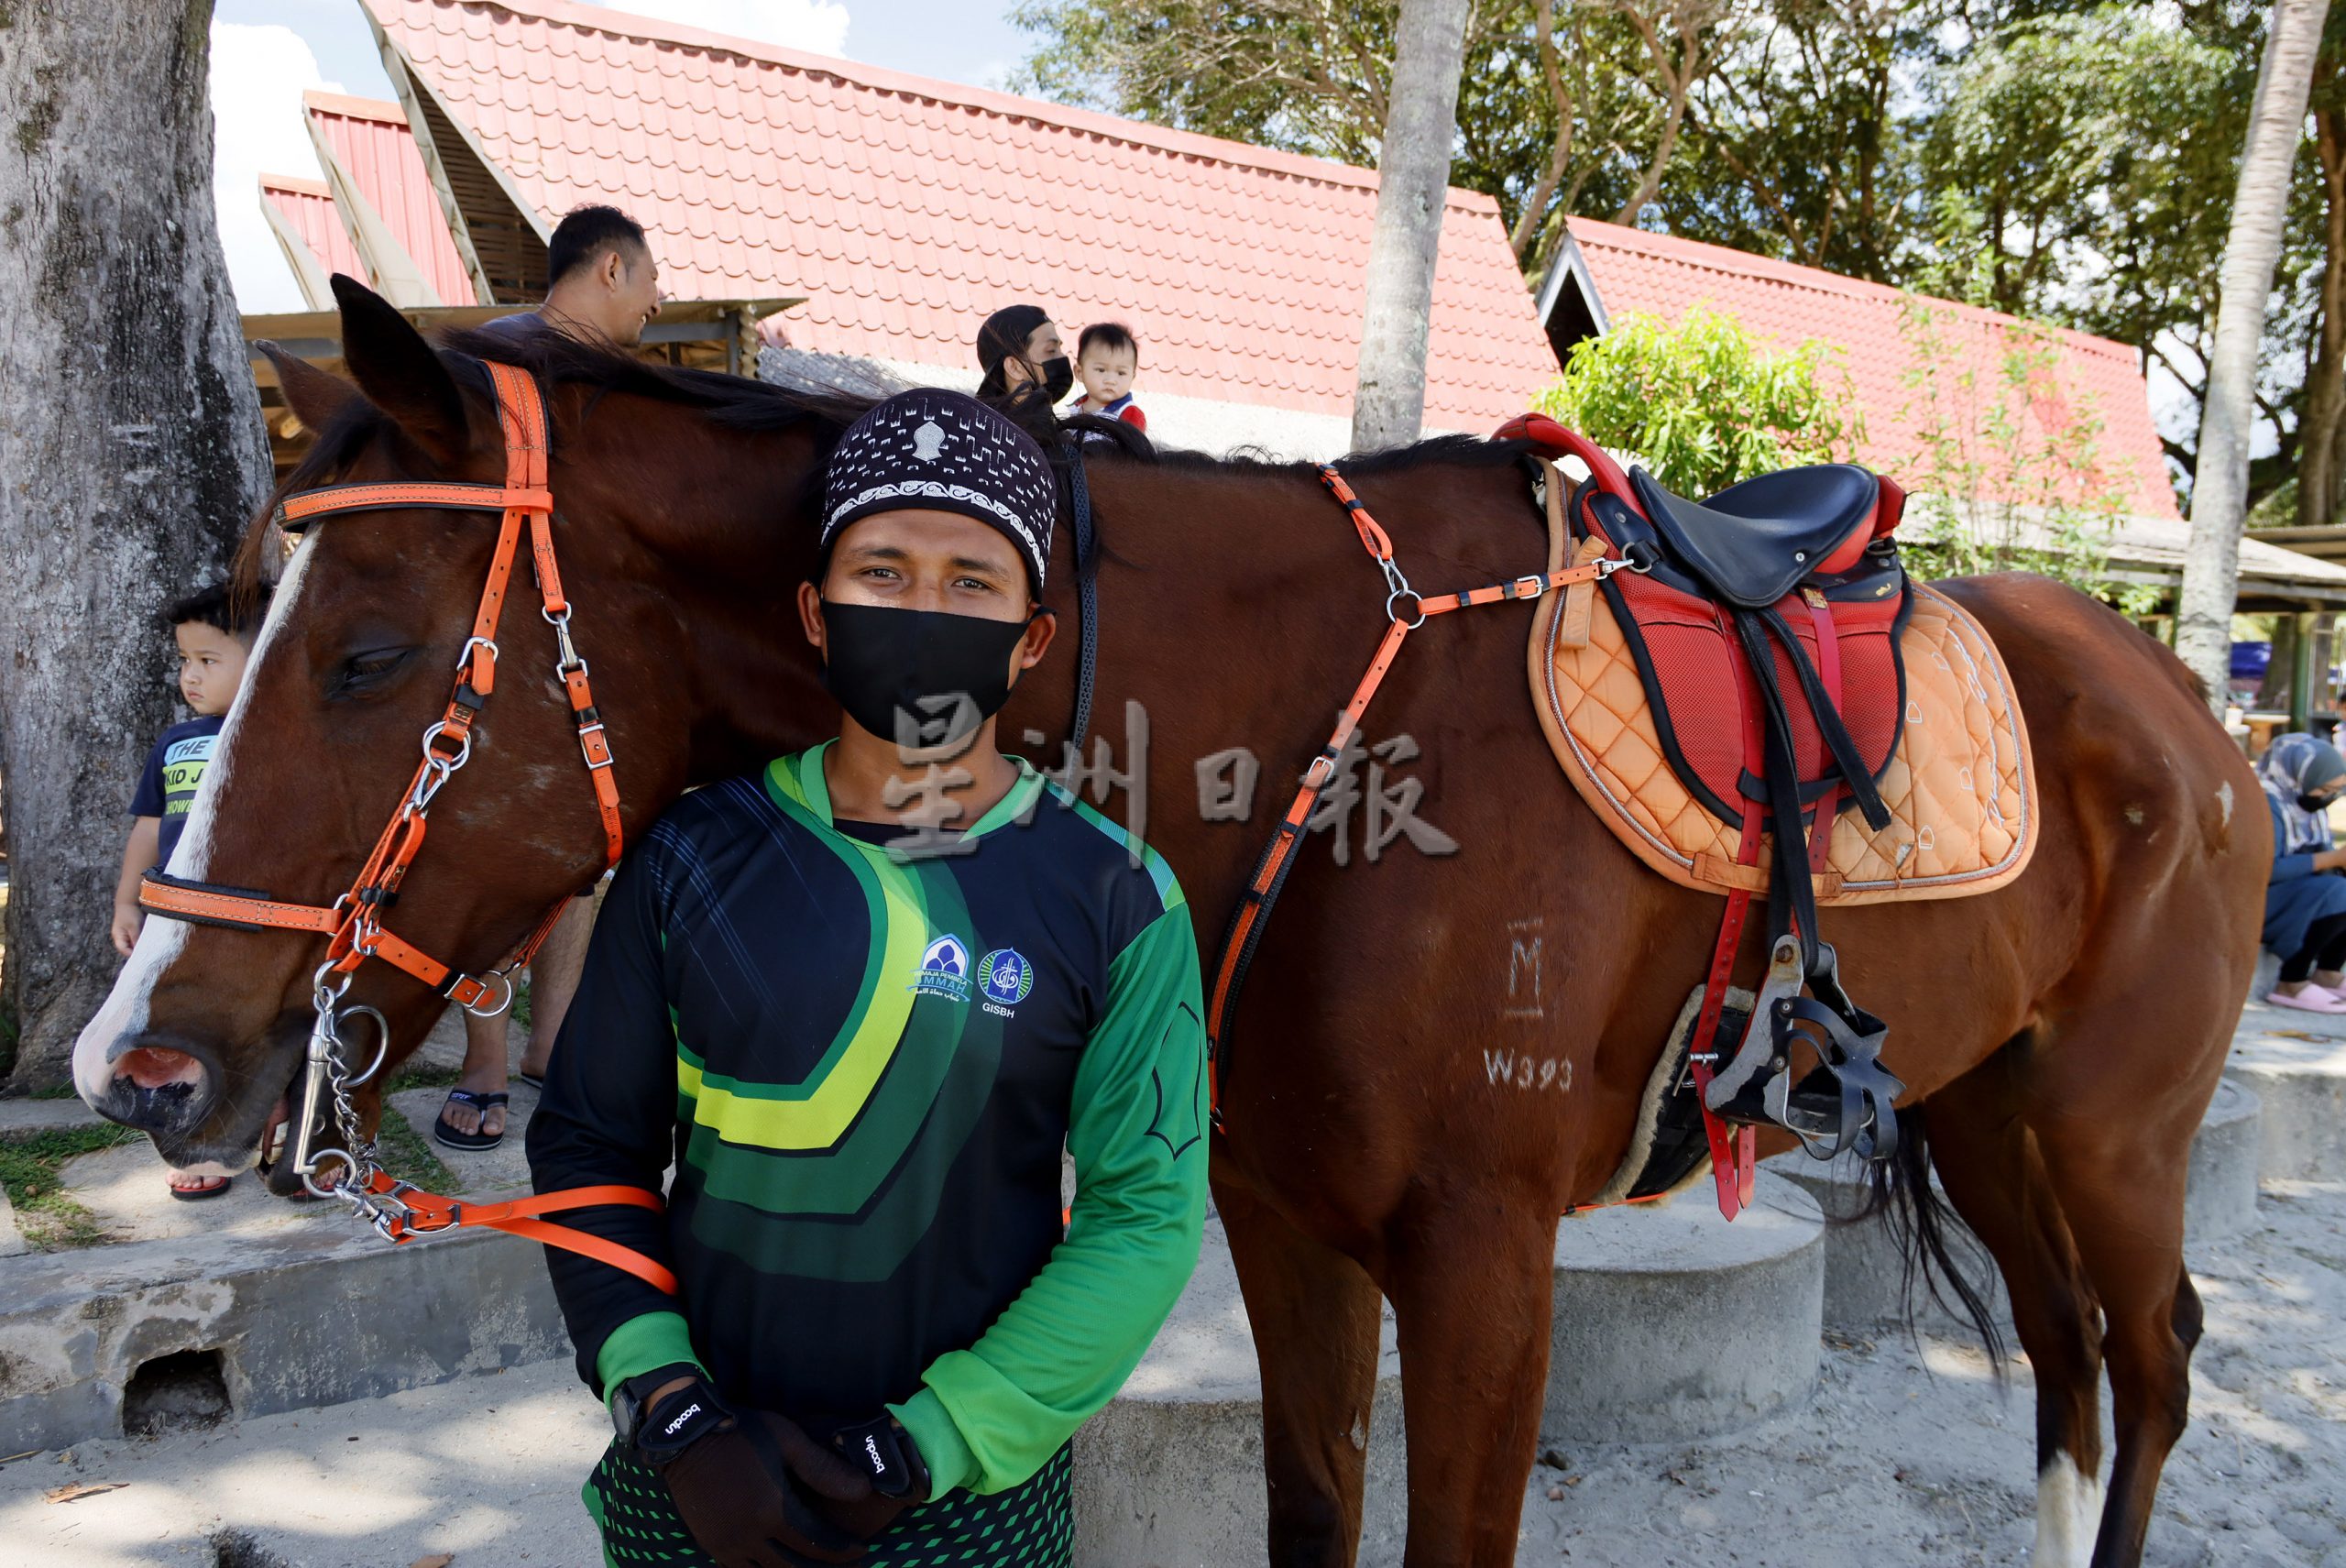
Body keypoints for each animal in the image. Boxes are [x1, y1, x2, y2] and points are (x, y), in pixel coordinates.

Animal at [82, 285, 2261, 1568]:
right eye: (251, 624)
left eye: (368, 654)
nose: (138, 1058)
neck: (1326, 740)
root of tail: (2189, 709)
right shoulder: (1285, 1224)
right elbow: (1308, 1512)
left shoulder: (1484, 1262)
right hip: (1987, 1103)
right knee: (2063, 1362)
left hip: (2112, 1129)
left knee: (2150, 1357)